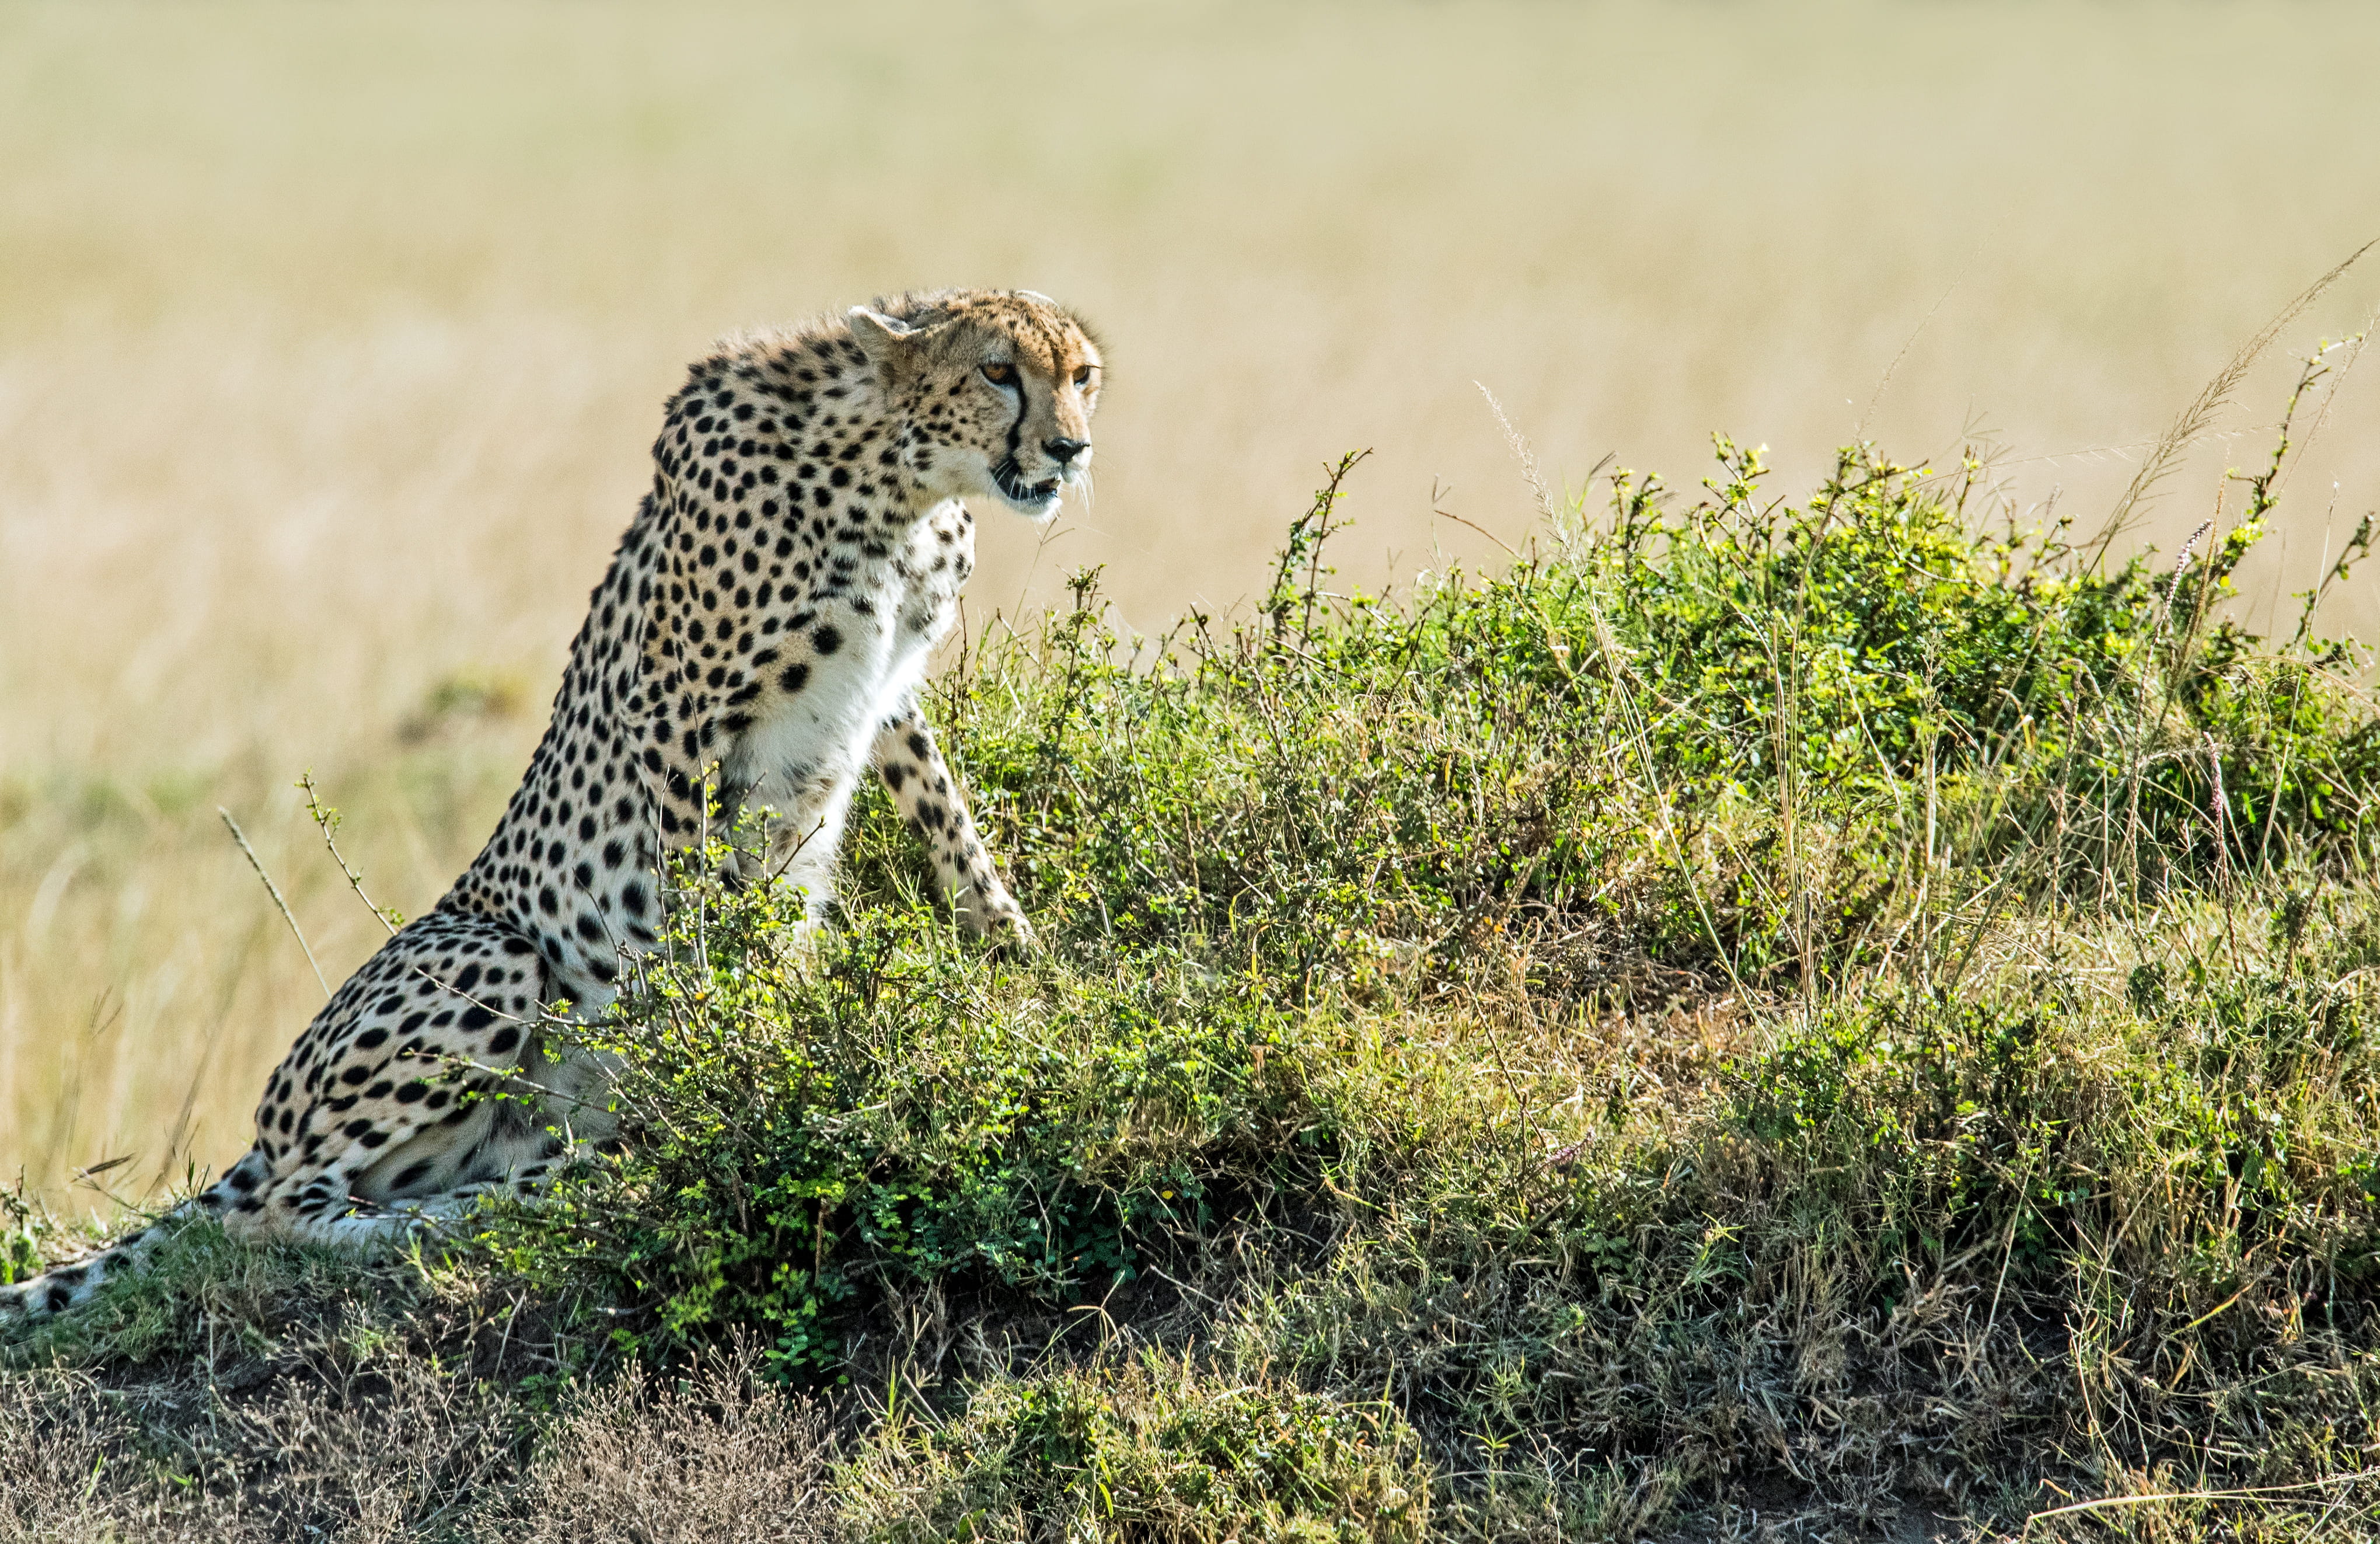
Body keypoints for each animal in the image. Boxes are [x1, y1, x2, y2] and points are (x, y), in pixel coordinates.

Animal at [2, 287, 1103, 1322]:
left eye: (1081, 375)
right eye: (997, 371)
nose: (1069, 447)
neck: (898, 478)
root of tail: (263, 1136)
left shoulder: (890, 691)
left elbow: (952, 828)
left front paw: (1024, 961)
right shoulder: (673, 714)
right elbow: (691, 919)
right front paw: (722, 1060)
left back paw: (541, 1177)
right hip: (491, 956)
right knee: (281, 1215)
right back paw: (470, 1213)